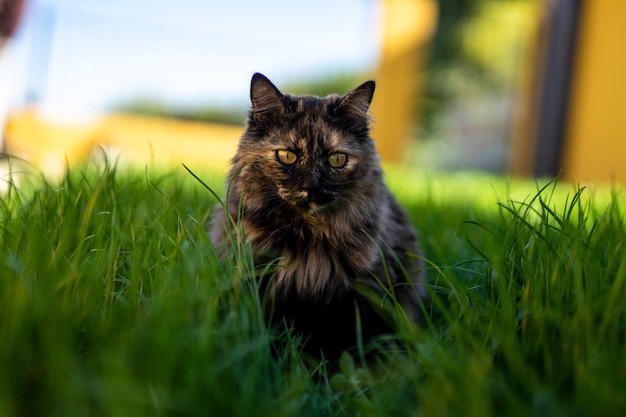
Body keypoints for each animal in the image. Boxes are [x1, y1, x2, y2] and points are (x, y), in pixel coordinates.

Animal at [210, 72, 424, 358]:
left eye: (337, 159)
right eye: (287, 156)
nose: (311, 187)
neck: (308, 237)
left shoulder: (362, 296)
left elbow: (348, 350)